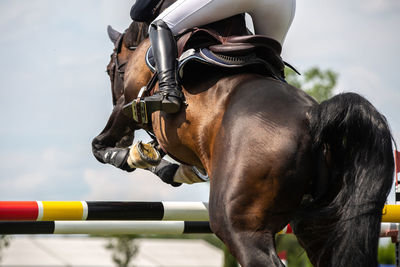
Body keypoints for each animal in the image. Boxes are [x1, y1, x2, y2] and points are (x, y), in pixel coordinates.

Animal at [92, 4, 396, 267]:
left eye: (109, 70)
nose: (126, 142)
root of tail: (315, 115)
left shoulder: (129, 104)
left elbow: (100, 145)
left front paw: (128, 155)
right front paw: (172, 169)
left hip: (238, 224)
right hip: (319, 223)